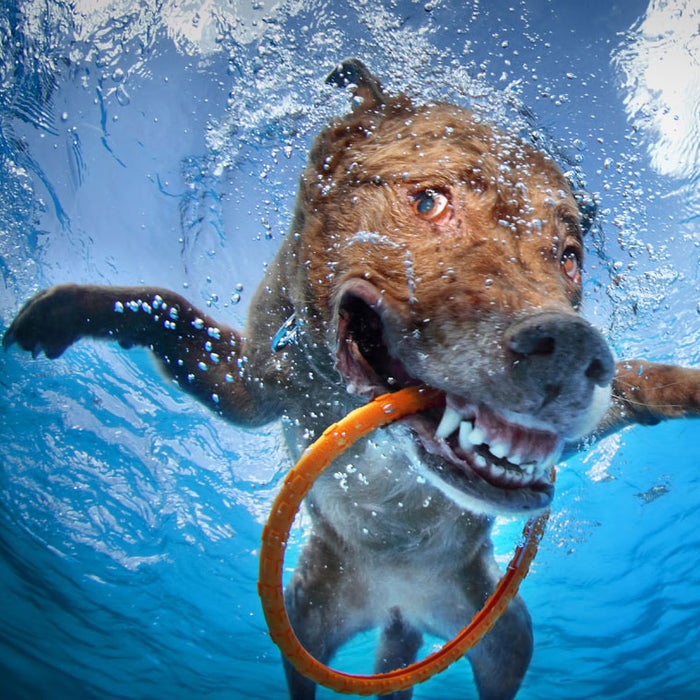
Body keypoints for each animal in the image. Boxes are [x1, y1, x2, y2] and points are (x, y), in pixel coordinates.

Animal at [5, 58, 700, 696]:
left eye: (570, 256)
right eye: (428, 201)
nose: (573, 351)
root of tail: (400, 604)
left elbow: (642, 382)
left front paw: (688, 385)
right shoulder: (254, 388)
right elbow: (165, 304)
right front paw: (65, 310)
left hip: (507, 636)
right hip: (304, 616)